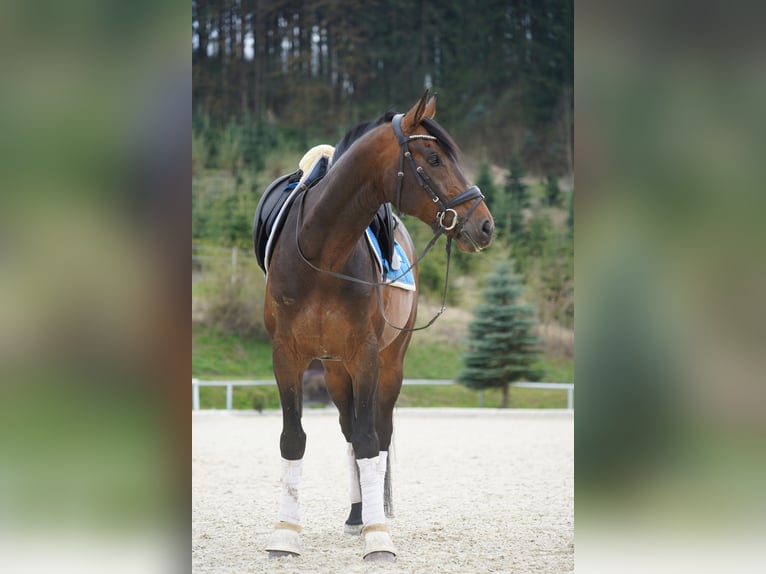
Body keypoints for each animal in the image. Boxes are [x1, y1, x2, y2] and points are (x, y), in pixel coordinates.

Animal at [258, 91, 494, 561]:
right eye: (433, 158)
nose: (485, 224)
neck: (321, 250)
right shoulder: (287, 356)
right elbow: (294, 438)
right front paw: (286, 534)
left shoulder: (365, 356)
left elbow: (372, 442)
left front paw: (379, 537)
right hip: (334, 370)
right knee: (350, 431)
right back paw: (356, 513)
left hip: (390, 363)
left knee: (379, 433)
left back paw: (372, 516)